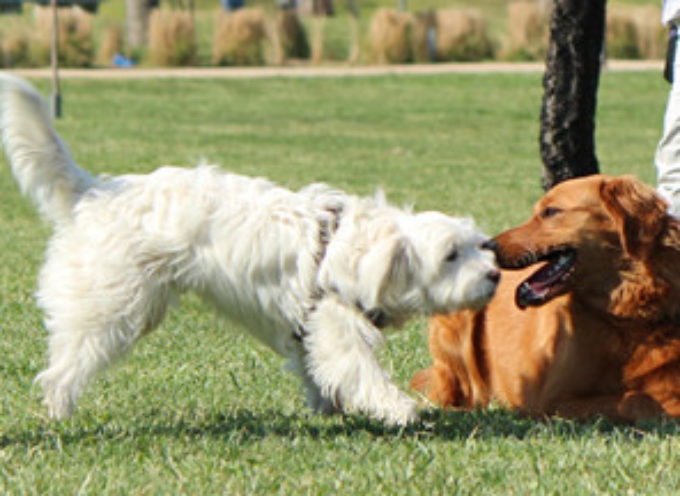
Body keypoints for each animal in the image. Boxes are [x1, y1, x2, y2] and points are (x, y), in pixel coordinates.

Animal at [0, 74, 500, 426]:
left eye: (479, 246)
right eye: (450, 255)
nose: (495, 275)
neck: (359, 251)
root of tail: (95, 190)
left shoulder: (311, 330)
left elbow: (318, 374)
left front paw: (330, 410)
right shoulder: (337, 327)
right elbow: (361, 373)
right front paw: (400, 410)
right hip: (111, 310)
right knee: (63, 368)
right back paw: (59, 410)